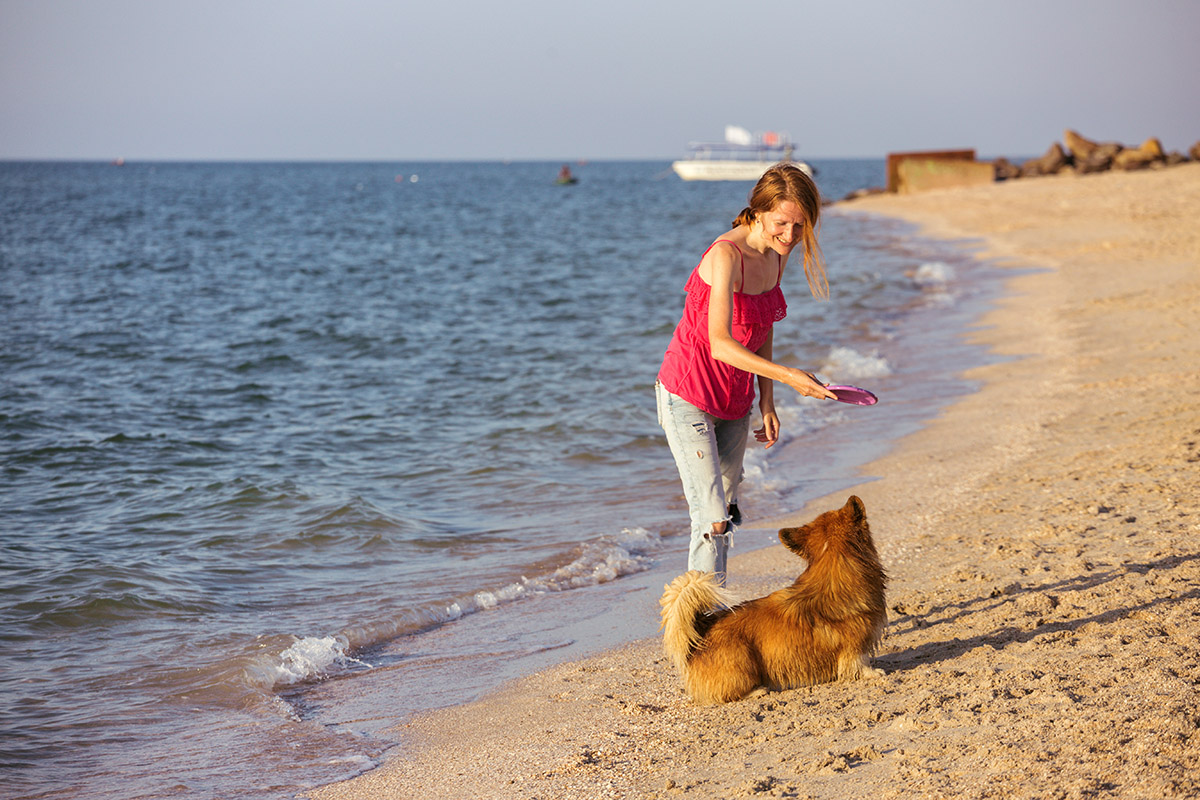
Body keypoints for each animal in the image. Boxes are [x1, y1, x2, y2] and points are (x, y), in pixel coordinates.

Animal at [662, 496, 888, 705]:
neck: (835, 569)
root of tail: (701, 631)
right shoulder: (855, 647)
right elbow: (858, 664)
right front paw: (873, 674)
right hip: (744, 665)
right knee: (728, 694)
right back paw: (758, 690)